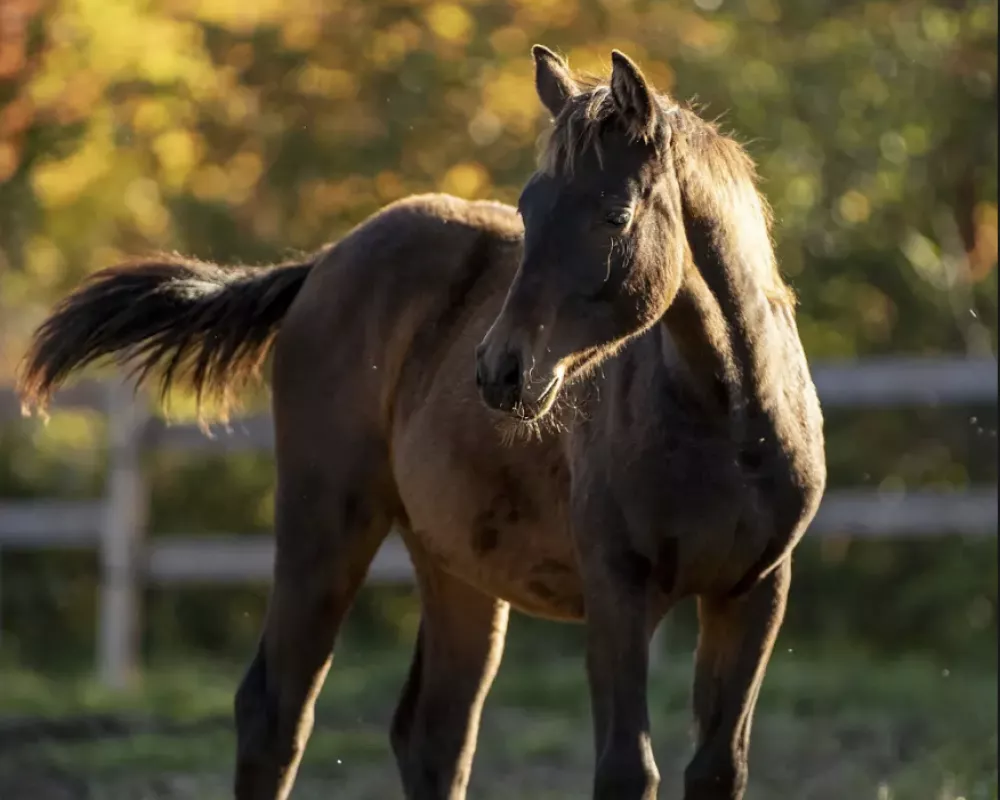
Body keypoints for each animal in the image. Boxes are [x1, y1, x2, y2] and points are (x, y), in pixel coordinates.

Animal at [17, 47, 828, 800]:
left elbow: (717, 769)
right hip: (325, 523)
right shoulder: (619, 591)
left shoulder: (754, 593)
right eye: (529, 209)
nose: (502, 371)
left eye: (615, 215)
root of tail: (323, 264)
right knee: (275, 712)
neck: (724, 419)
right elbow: (629, 770)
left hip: (456, 566)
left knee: (435, 734)